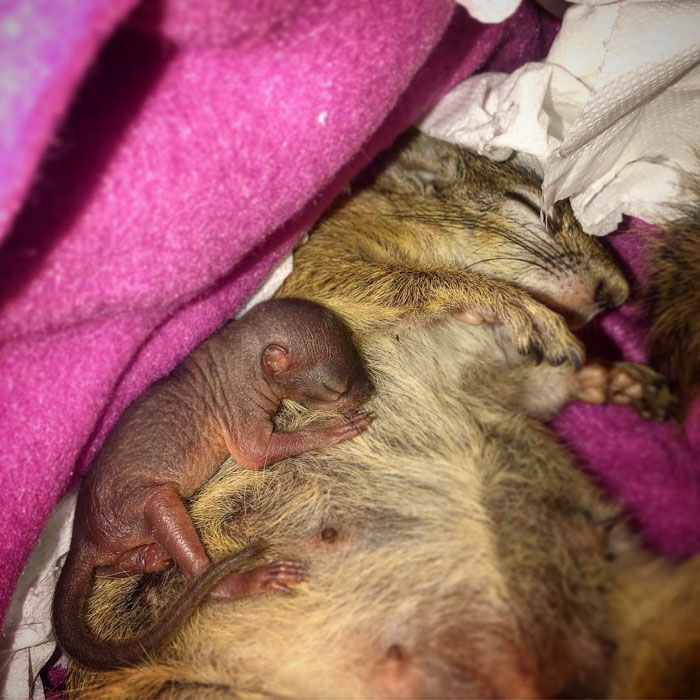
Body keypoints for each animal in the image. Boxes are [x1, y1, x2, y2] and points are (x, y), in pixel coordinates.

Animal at [63, 131, 697, 698]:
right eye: (524, 205)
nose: (616, 294)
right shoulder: (326, 272)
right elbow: (418, 281)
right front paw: (525, 310)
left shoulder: (487, 381)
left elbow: (537, 390)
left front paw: (613, 377)